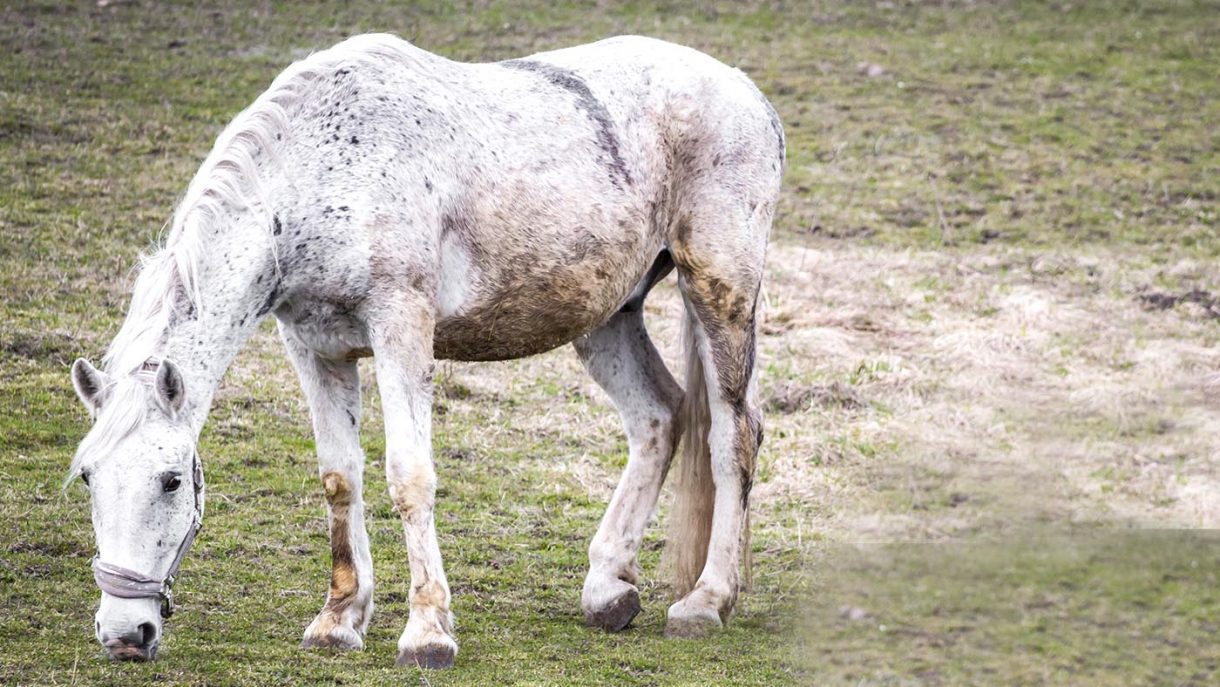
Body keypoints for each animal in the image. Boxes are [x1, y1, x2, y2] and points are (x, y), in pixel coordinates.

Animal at [67, 33, 784, 668]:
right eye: (89, 478)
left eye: (170, 479)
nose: (124, 633)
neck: (316, 176)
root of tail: (746, 93)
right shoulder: (315, 348)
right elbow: (339, 478)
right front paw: (338, 620)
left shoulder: (401, 327)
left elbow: (409, 477)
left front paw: (428, 632)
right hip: (607, 316)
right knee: (658, 417)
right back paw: (609, 588)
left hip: (719, 291)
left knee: (733, 433)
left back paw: (706, 602)